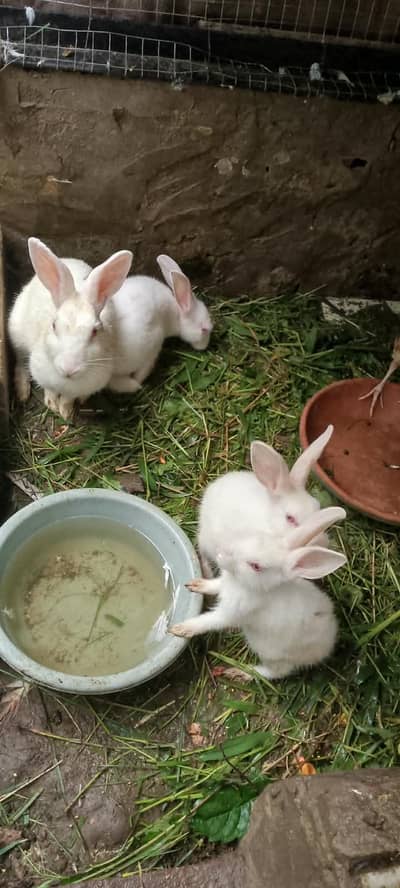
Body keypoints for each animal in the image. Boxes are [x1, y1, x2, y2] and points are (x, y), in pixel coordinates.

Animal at [8, 238, 133, 420]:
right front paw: (52, 405)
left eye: (95, 331)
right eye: (54, 325)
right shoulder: (42, 374)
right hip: (16, 333)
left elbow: (68, 398)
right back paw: (22, 392)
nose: (69, 369)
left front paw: (66, 412)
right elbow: (50, 390)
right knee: (19, 361)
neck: (66, 381)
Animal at [170, 506, 347, 680]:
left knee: (276, 672)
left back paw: (239, 672)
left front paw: (180, 629)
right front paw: (196, 584)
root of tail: (327, 646)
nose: (222, 552)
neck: (240, 583)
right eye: (254, 537)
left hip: (270, 652)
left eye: (256, 566)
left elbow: (208, 621)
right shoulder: (223, 584)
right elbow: (213, 586)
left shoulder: (230, 614)